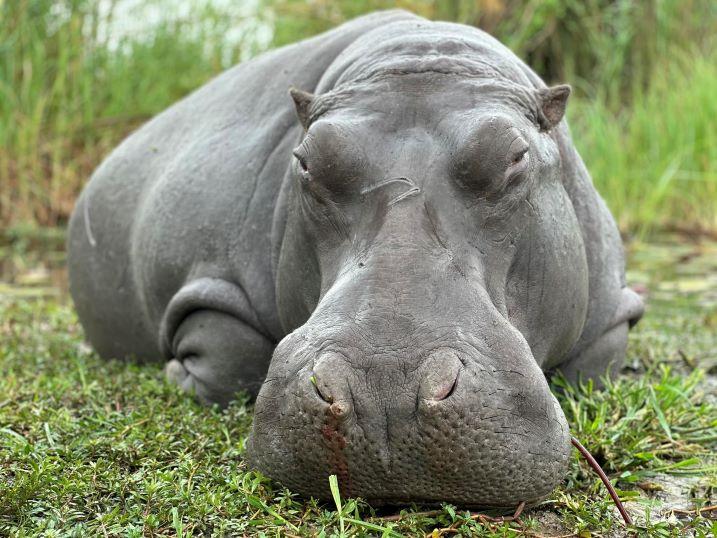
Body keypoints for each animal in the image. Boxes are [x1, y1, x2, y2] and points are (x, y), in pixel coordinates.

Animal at [68, 10, 644, 509]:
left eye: (514, 157)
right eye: (306, 162)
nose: (383, 390)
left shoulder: (609, 316)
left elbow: (595, 368)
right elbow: (230, 357)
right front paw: (173, 369)